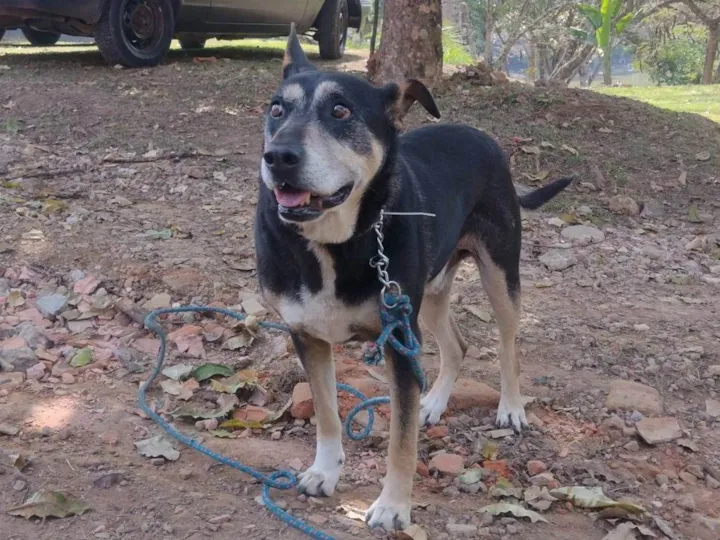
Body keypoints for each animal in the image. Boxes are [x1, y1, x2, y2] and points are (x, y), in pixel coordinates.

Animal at [254, 27, 572, 531]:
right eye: (276, 109)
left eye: (340, 111)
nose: (278, 156)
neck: (333, 241)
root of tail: (482, 137)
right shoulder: (308, 335)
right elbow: (326, 413)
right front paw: (324, 472)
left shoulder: (399, 342)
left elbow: (400, 442)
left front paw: (392, 506)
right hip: (430, 295)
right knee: (457, 346)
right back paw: (435, 402)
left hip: (499, 276)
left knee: (508, 346)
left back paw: (511, 407)